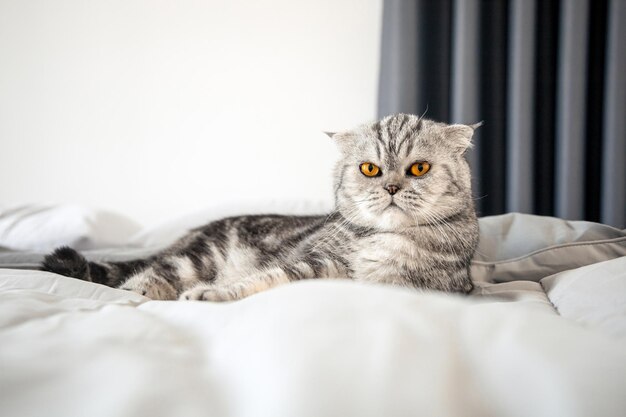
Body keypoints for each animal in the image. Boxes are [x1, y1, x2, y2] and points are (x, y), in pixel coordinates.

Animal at [42, 114, 478, 300]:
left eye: (419, 168)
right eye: (369, 168)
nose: (390, 187)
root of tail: (192, 232)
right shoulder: (312, 261)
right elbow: (265, 278)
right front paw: (208, 294)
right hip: (201, 256)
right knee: (153, 271)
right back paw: (145, 290)